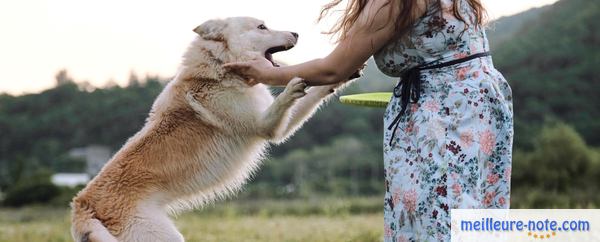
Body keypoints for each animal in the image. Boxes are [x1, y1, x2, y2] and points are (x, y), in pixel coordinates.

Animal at [71, 17, 360, 242]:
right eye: (262, 26)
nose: (297, 33)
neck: (219, 67)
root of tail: (82, 207)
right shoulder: (268, 126)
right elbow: (289, 100)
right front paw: (292, 88)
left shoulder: (278, 122)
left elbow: (316, 95)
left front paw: (342, 76)